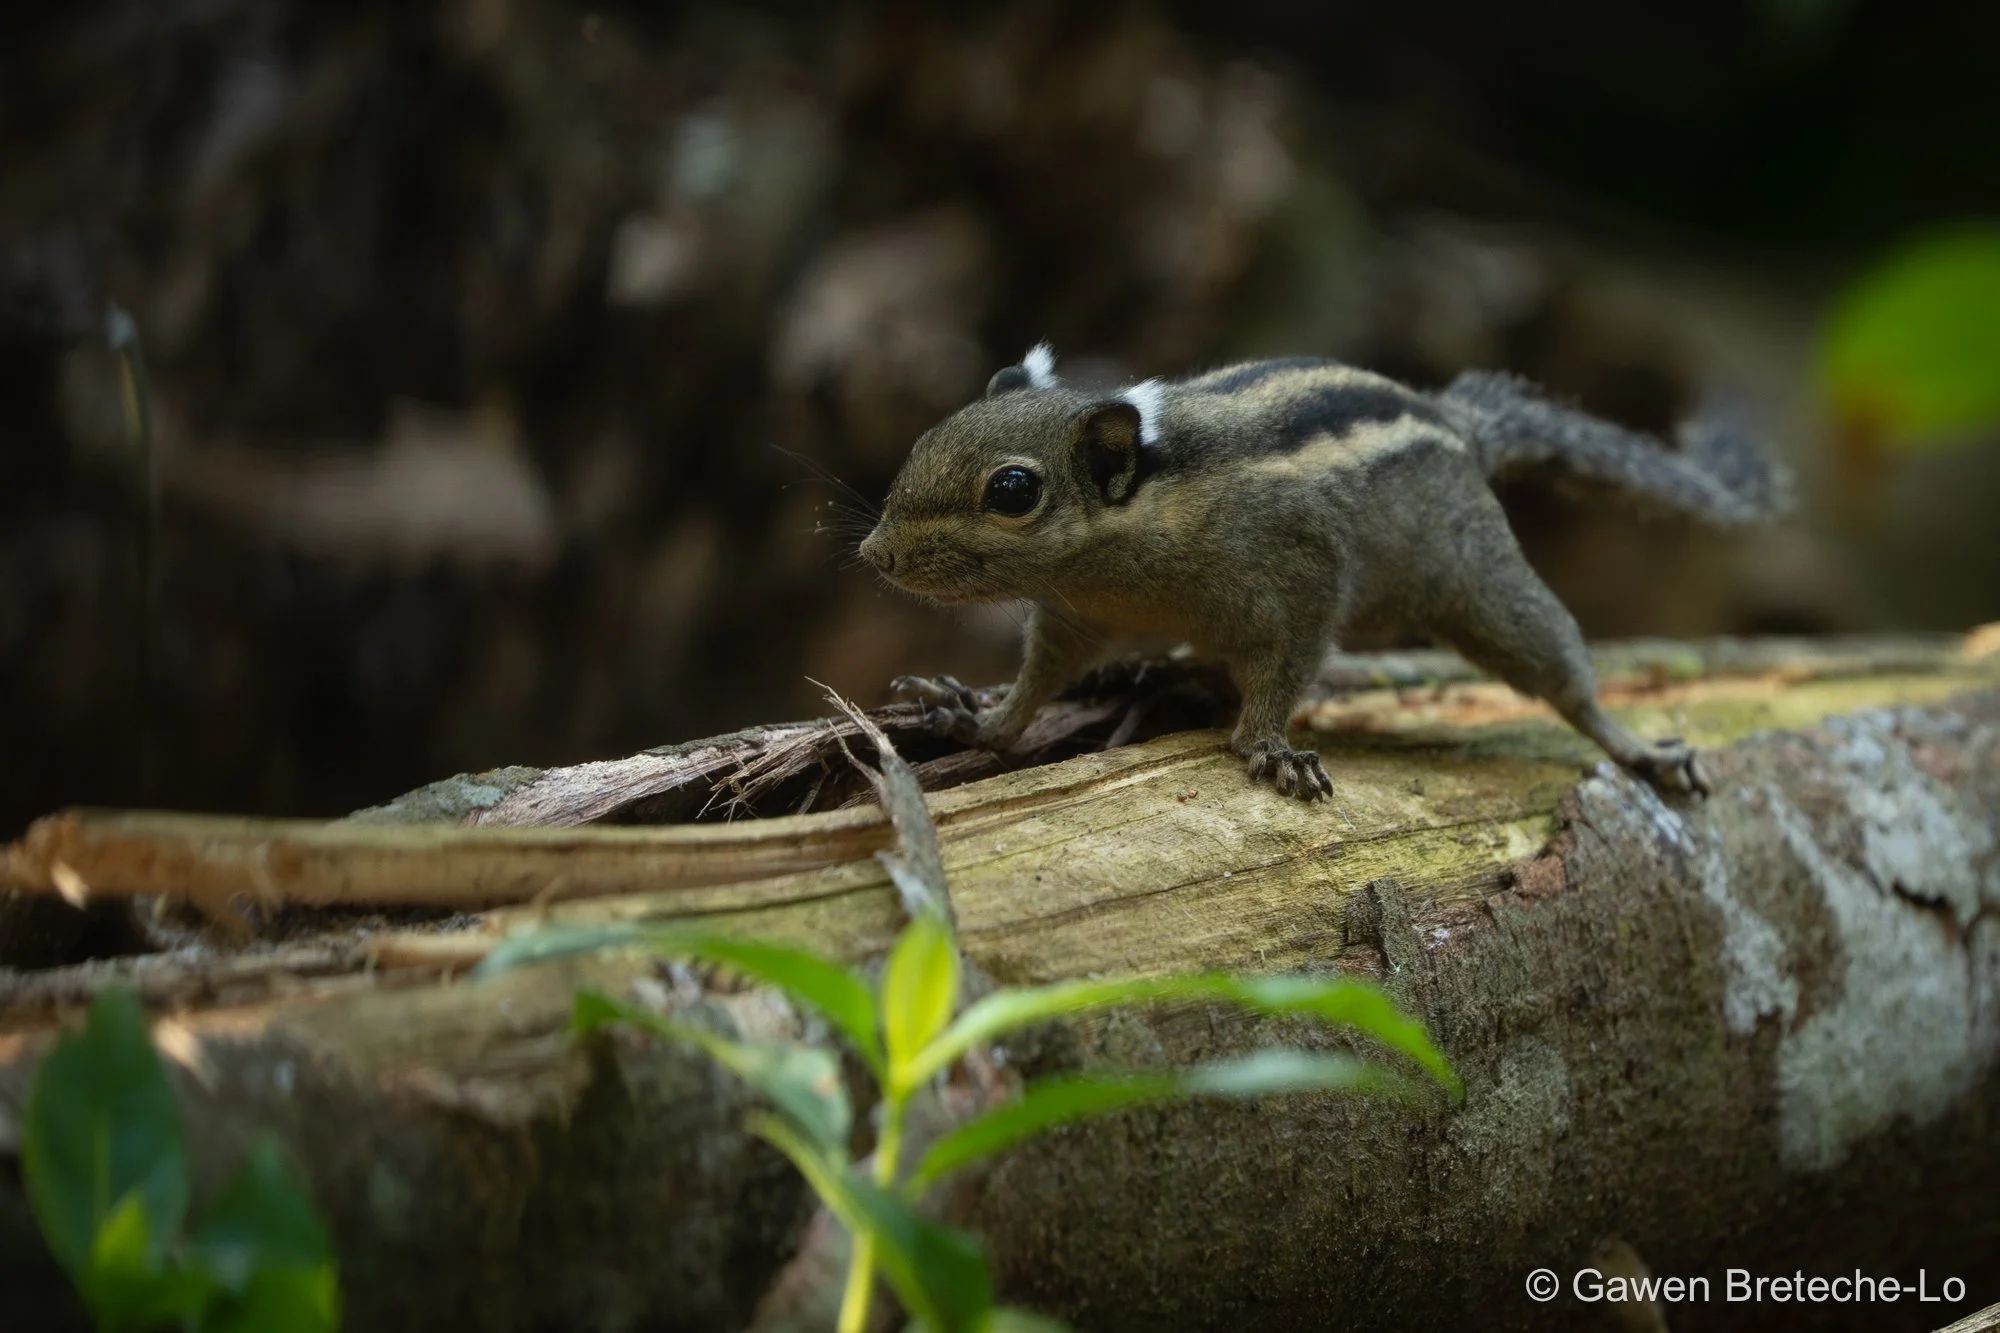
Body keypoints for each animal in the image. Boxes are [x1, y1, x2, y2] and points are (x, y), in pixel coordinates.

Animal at [857, 345, 1791, 800]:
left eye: (1013, 490)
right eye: (930, 435)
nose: (876, 554)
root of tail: (1457, 420)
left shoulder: (1301, 578)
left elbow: (1288, 665)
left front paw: (1269, 747)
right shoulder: (1071, 616)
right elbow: (1031, 692)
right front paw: (970, 714)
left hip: (1483, 581)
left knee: (1564, 675)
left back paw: (1640, 749)